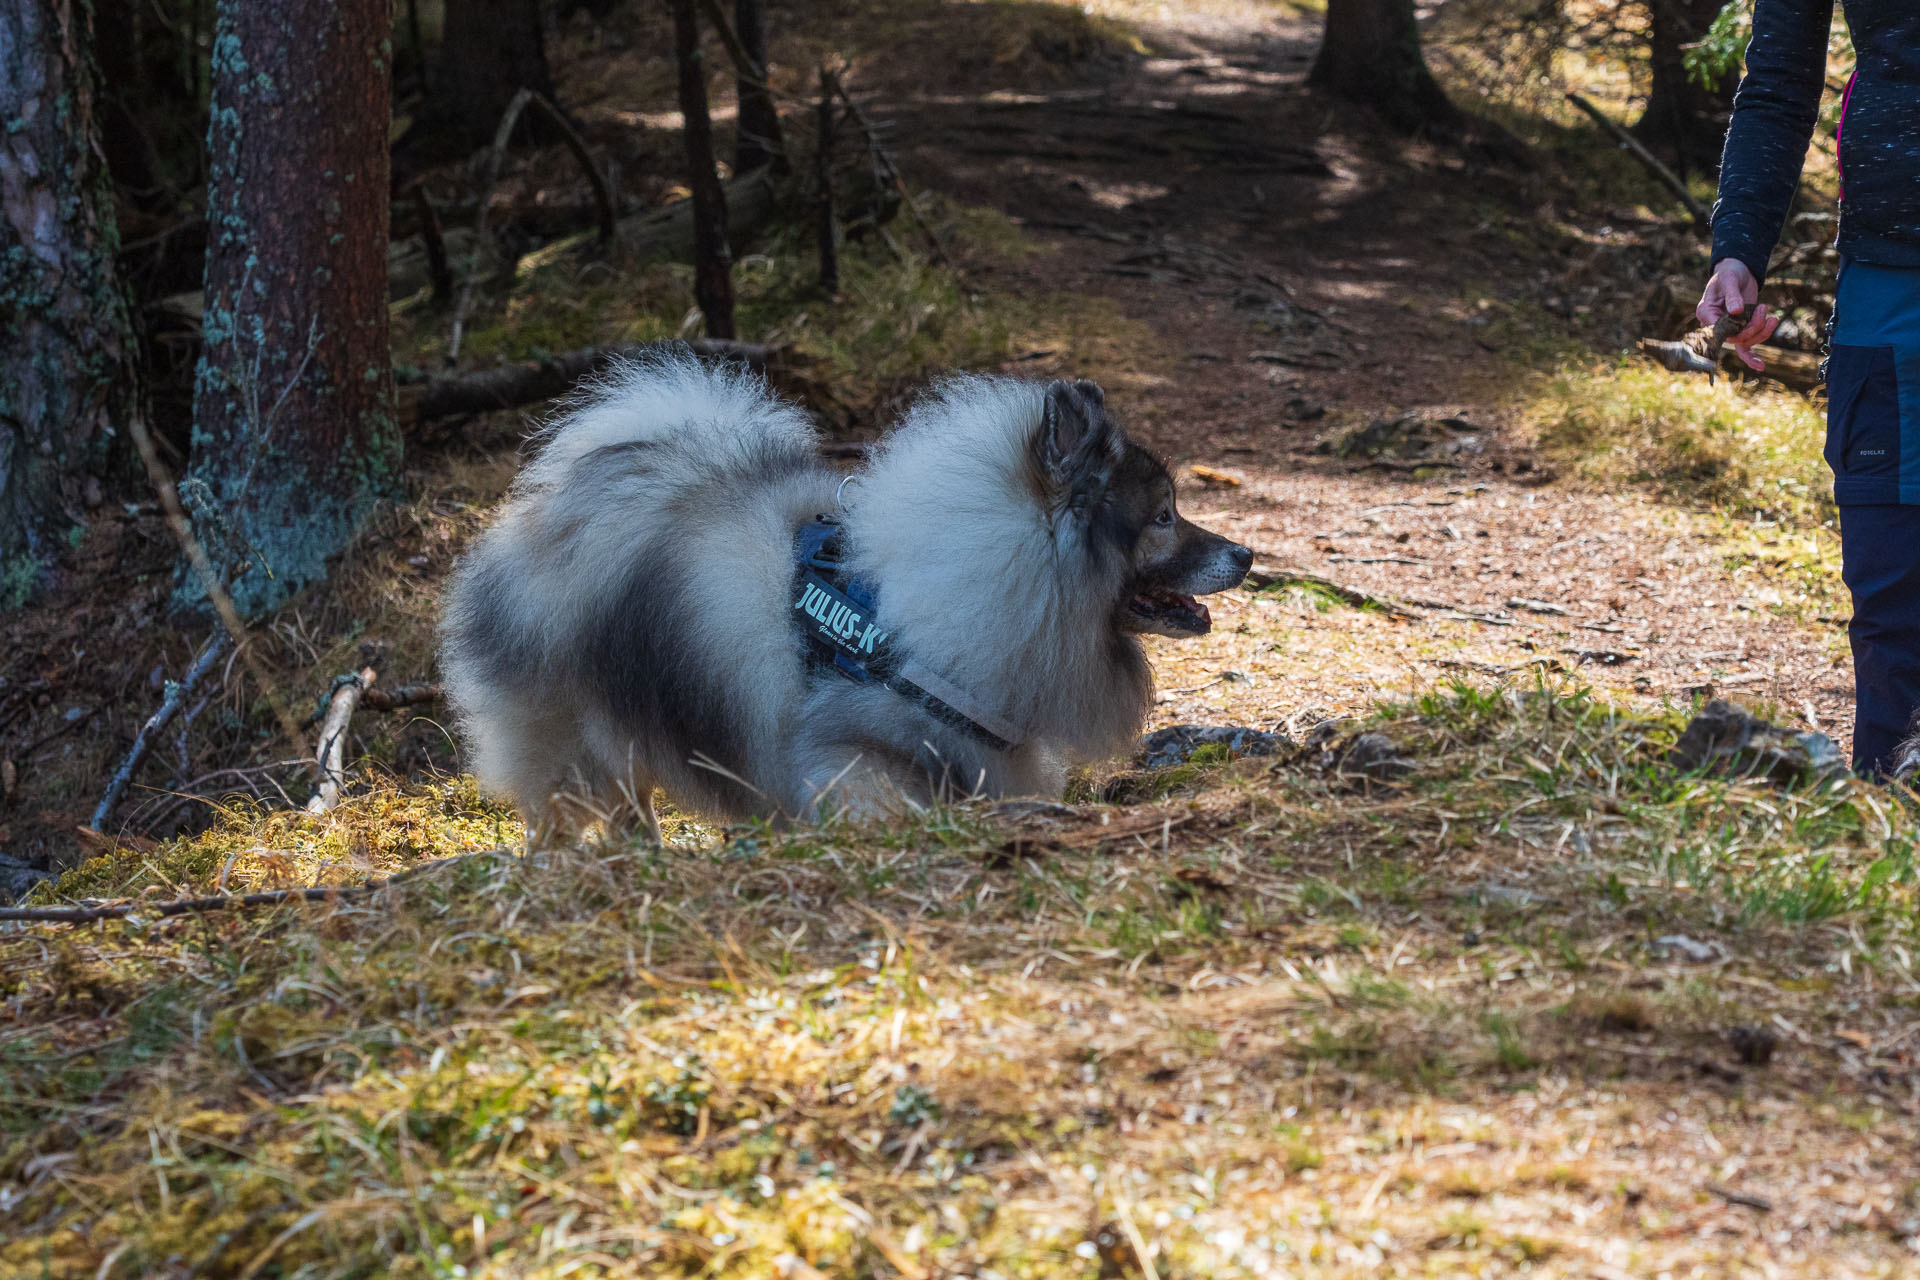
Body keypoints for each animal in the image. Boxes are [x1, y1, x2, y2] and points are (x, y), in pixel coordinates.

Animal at [445, 360, 1259, 840]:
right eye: (1163, 517)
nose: (1248, 555)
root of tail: (554, 500)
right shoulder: (847, 760)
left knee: (626, 807)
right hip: (570, 732)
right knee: (556, 820)